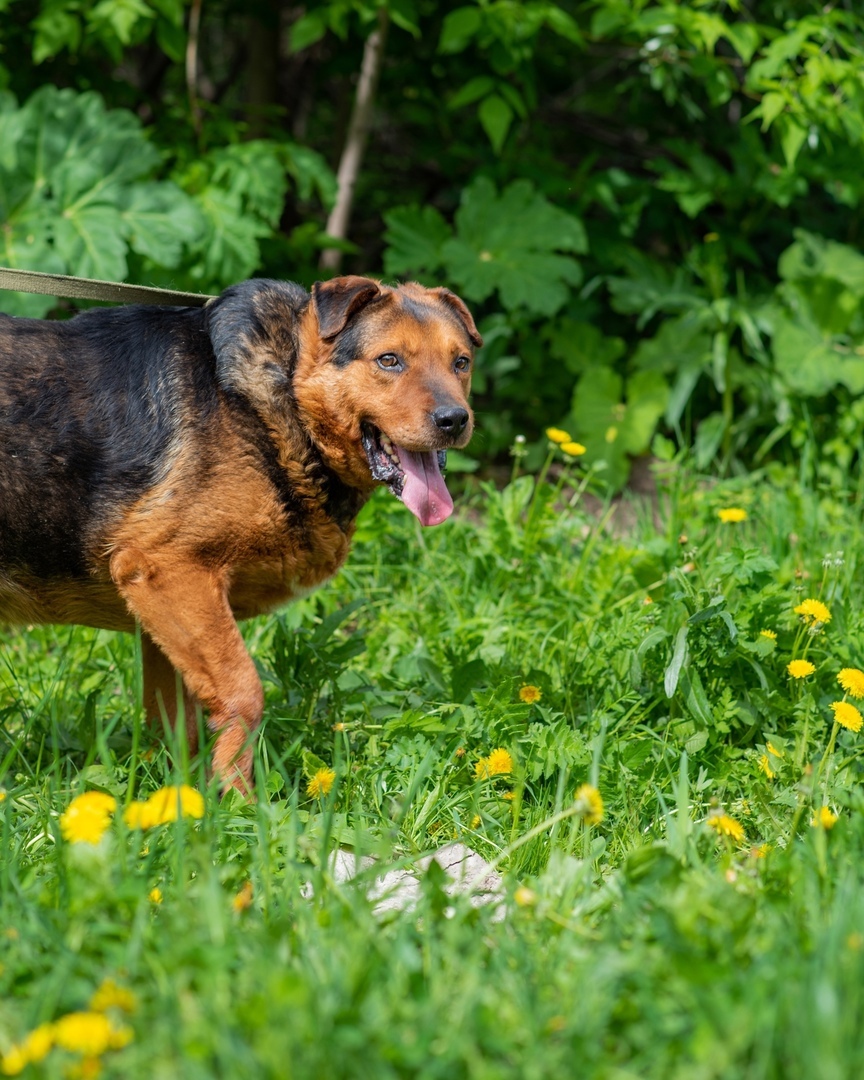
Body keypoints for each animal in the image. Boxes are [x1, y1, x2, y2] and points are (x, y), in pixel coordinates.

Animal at [0, 278, 479, 794]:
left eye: (460, 362)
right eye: (389, 360)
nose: (455, 419)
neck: (286, 394)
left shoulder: (164, 609)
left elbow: (178, 722)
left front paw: (181, 800)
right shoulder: (171, 573)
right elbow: (243, 695)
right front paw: (239, 803)